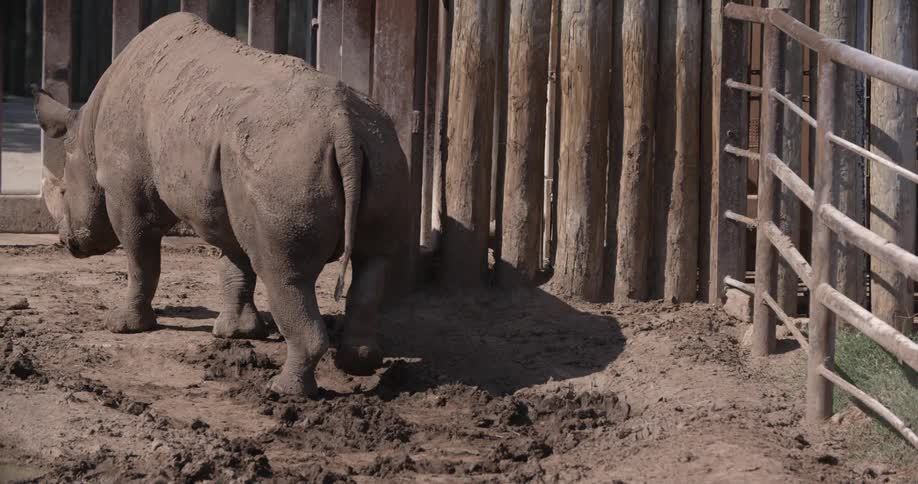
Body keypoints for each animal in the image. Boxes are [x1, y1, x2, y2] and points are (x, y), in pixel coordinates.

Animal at [33, 12, 410, 396]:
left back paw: (283, 390)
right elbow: (234, 263)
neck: (86, 138)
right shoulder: (227, 201)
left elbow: (141, 260)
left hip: (284, 162)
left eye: (63, 193)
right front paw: (236, 333)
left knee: (284, 273)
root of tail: (342, 125)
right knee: (373, 260)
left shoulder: (129, 195)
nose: (67, 243)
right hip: (381, 151)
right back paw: (359, 363)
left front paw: (122, 325)